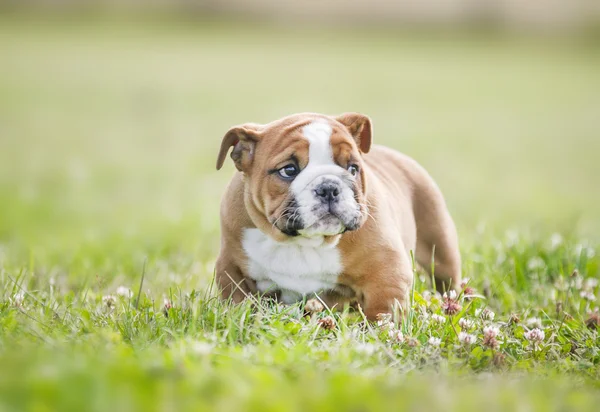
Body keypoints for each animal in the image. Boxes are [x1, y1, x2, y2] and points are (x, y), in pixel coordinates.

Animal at [214, 113, 460, 322]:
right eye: (288, 170)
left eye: (353, 169)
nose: (329, 187)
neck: (303, 242)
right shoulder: (231, 267)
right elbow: (237, 300)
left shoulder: (386, 273)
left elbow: (382, 313)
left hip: (439, 245)